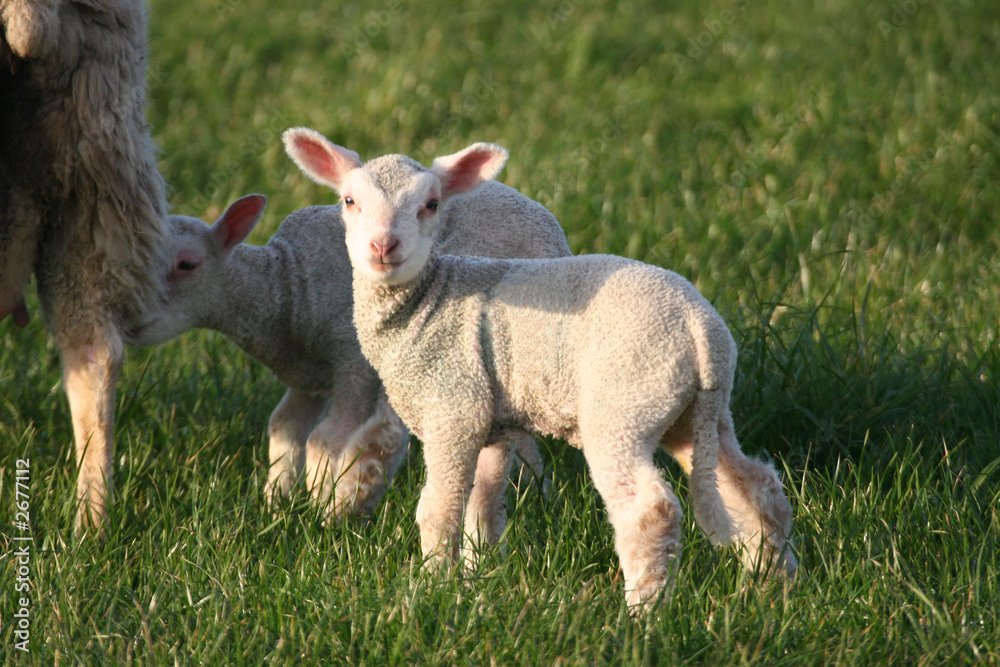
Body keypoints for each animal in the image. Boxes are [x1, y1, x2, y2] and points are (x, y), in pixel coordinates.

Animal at [124, 181, 569, 533]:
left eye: (187, 264)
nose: (131, 320)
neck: (283, 289)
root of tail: (548, 222)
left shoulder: (353, 365)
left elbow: (327, 439)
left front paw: (320, 511)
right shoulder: (307, 377)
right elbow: (284, 426)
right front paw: (275, 502)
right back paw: (534, 488)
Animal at [283, 127, 799, 607]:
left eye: (431, 204)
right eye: (349, 201)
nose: (383, 246)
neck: (427, 301)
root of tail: (700, 328)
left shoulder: (454, 409)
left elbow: (439, 508)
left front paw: (433, 587)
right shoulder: (492, 418)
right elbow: (484, 504)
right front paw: (478, 579)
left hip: (623, 405)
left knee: (649, 509)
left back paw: (643, 613)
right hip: (697, 413)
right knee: (753, 484)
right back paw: (777, 584)